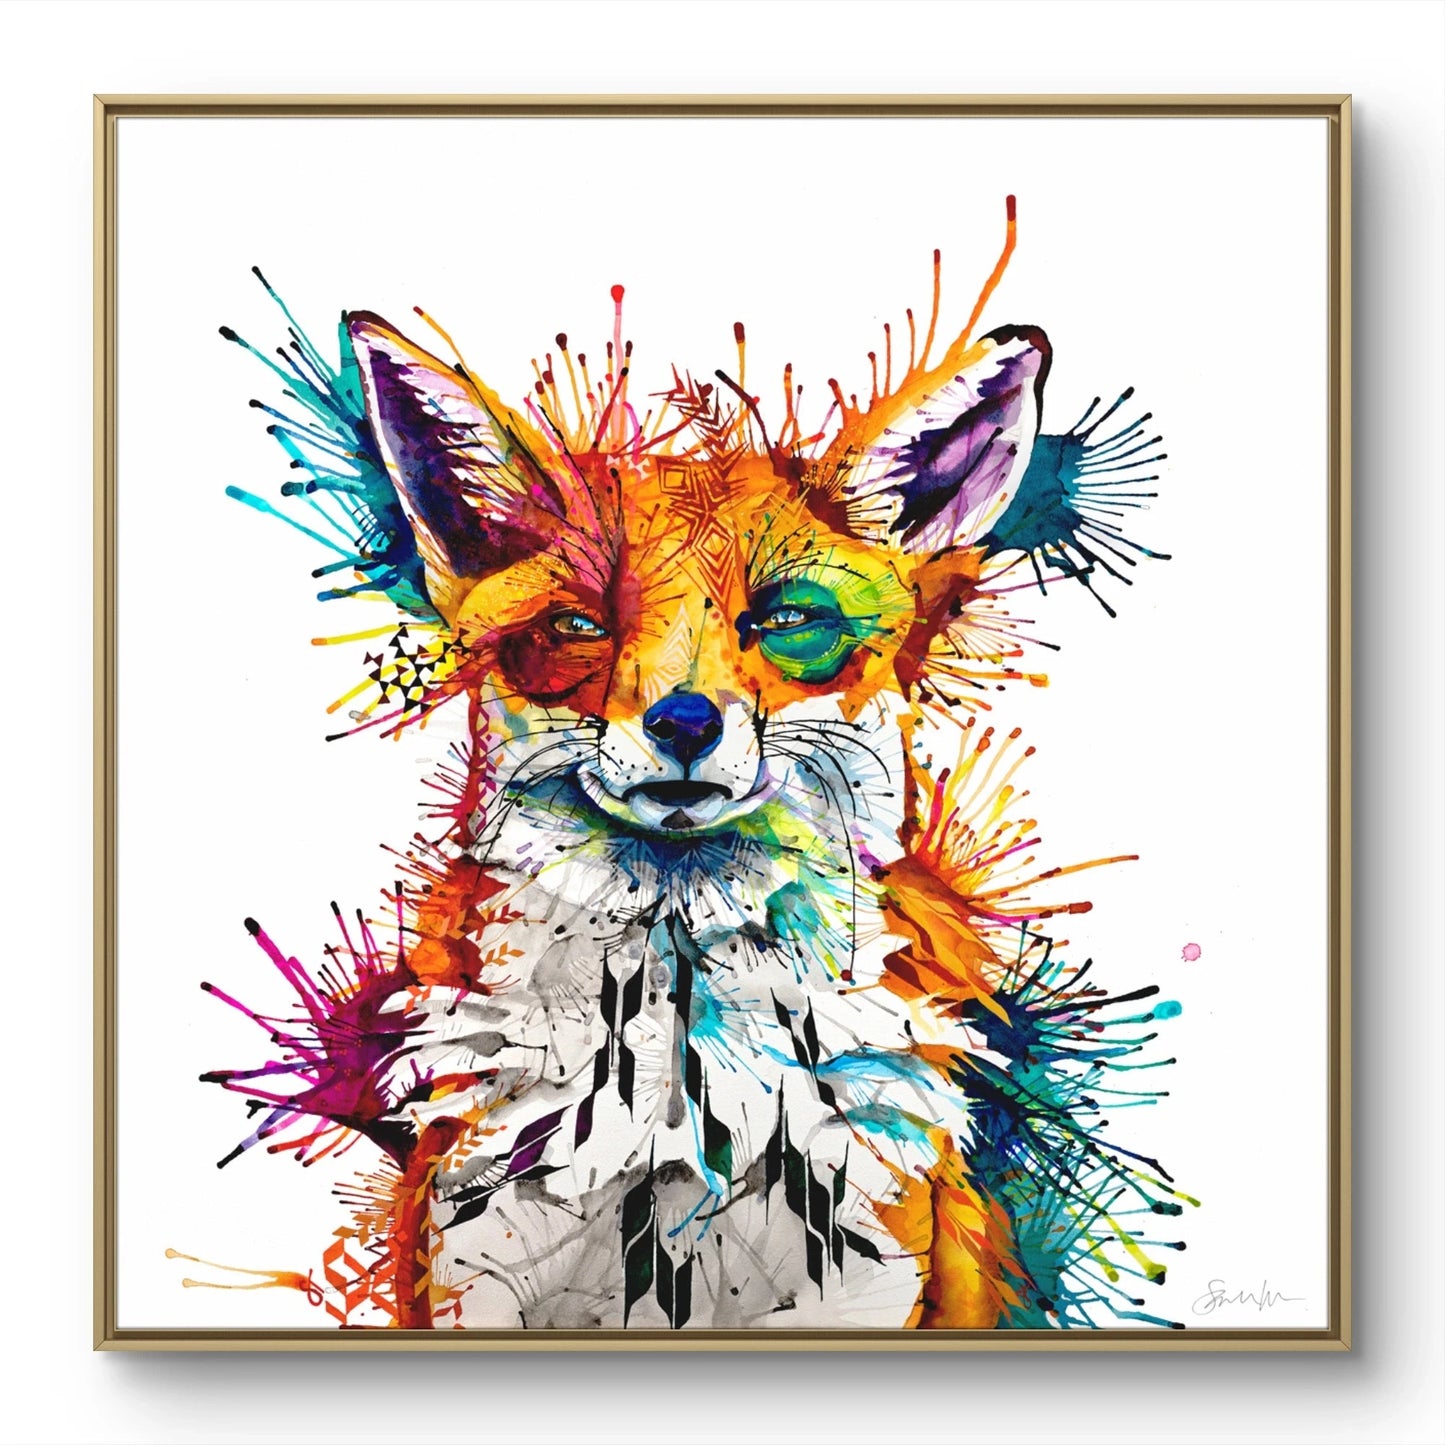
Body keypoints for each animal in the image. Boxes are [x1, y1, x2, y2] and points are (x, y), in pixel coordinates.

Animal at [208, 197, 1188, 1332]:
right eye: (577, 624)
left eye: (787, 620)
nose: (682, 722)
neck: (673, 1131)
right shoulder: (473, 1287)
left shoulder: (863, 1296)